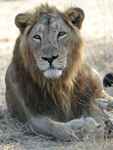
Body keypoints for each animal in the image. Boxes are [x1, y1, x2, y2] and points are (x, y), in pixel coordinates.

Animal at [5, 3, 113, 142]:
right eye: (37, 37)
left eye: (61, 33)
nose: (50, 58)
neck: (58, 83)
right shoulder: (35, 115)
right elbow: (58, 129)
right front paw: (85, 126)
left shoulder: (85, 102)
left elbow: (99, 112)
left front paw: (106, 122)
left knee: (102, 93)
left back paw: (106, 102)